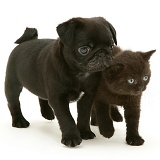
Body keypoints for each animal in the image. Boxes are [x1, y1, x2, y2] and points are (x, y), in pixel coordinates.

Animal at [4, 16, 116, 147]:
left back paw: (47, 113)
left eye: (111, 46)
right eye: (84, 49)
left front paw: (85, 132)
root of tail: (26, 41)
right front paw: (71, 137)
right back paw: (19, 121)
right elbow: (66, 118)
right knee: (13, 102)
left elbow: (83, 116)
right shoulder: (58, 99)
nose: (102, 54)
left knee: (41, 96)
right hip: (13, 84)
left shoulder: (87, 96)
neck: (79, 73)